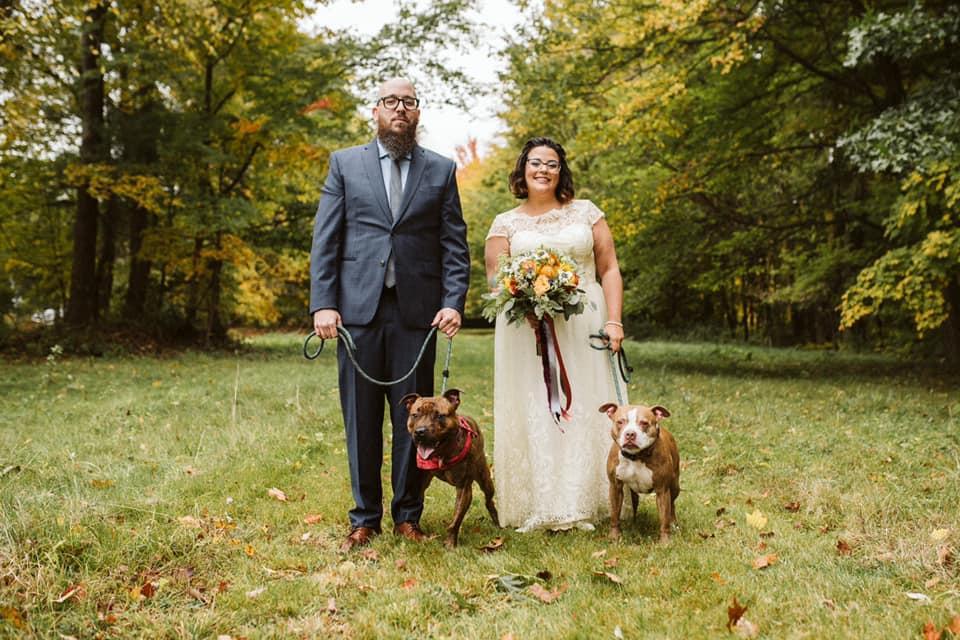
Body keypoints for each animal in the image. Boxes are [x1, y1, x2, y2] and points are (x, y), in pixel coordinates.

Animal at [401, 389, 500, 547]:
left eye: (440, 416)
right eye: (415, 415)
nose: (420, 431)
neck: (442, 454)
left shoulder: (464, 488)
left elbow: (456, 520)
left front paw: (450, 544)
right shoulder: (421, 483)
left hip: (485, 478)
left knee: (489, 500)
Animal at [599, 403, 679, 542]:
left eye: (644, 423)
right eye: (620, 422)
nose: (630, 434)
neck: (635, 456)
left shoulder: (662, 490)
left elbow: (664, 518)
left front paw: (665, 541)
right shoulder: (615, 486)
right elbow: (614, 514)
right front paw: (614, 536)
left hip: (674, 486)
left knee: (672, 505)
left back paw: (673, 523)